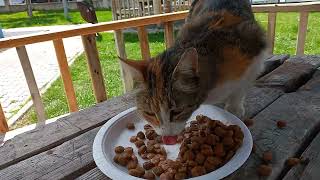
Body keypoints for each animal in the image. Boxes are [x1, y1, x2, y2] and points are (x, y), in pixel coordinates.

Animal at [120, 0, 268, 139]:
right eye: (149, 113)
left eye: (177, 112)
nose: (167, 136)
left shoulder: (254, 53)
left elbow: (241, 87)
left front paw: (234, 107)